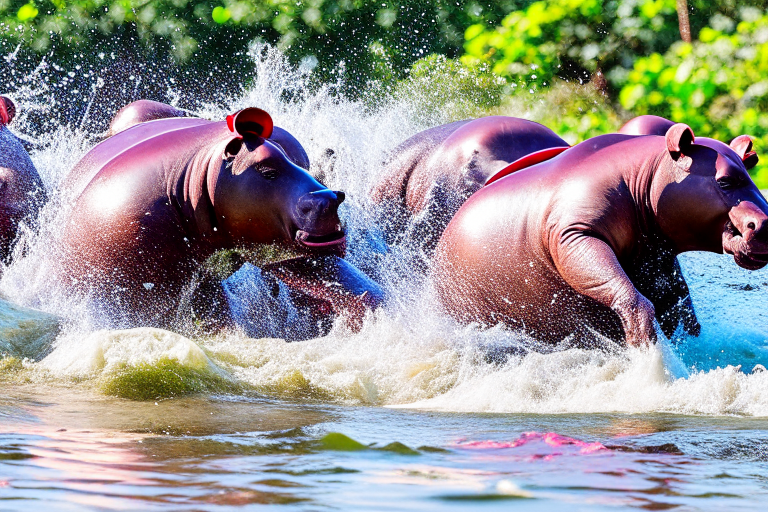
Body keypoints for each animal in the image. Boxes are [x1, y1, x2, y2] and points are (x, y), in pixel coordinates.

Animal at [436, 123, 764, 346]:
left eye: (751, 175)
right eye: (724, 181)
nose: (764, 225)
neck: (643, 178)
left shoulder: (659, 261)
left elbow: (679, 310)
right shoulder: (574, 235)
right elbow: (628, 295)